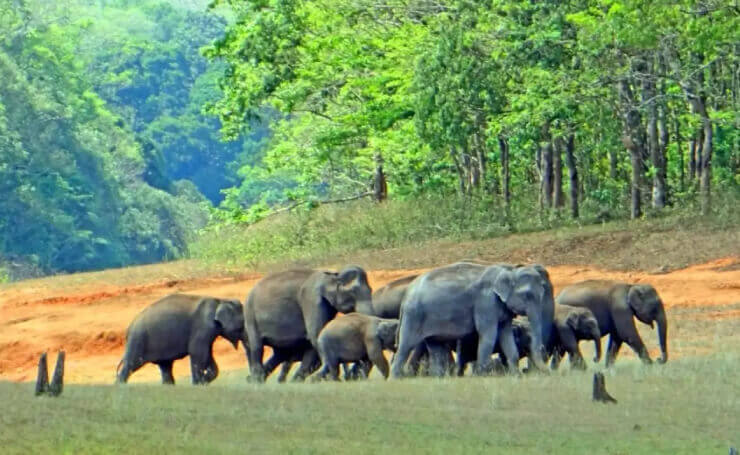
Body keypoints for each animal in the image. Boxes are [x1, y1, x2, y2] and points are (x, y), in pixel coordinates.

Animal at [115, 294, 243, 386]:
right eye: (241, 327)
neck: (220, 301)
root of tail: (129, 328)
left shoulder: (208, 332)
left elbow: (207, 354)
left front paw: (203, 381)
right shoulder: (202, 327)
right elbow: (197, 352)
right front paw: (198, 384)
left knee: (165, 366)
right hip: (138, 340)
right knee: (131, 364)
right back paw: (120, 386)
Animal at [244, 266, 372, 382]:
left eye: (371, 290)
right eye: (353, 292)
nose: (353, 376)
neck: (333, 275)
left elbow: (313, 342)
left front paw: (299, 381)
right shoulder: (311, 300)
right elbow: (316, 335)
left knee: (281, 354)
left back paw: (255, 379)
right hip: (251, 317)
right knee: (257, 347)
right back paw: (256, 380)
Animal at [394, 262, 556, 380]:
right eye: (527, 295)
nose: (549, 374)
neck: (508, 270)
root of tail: (406, 295)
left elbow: (506, 336)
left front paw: (516, 377)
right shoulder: (486, 302)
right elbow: (489, 335)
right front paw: (482, 376)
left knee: (435, 347)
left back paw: (438, 378)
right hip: (413, 316)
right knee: (405, 346)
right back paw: (397, 379)